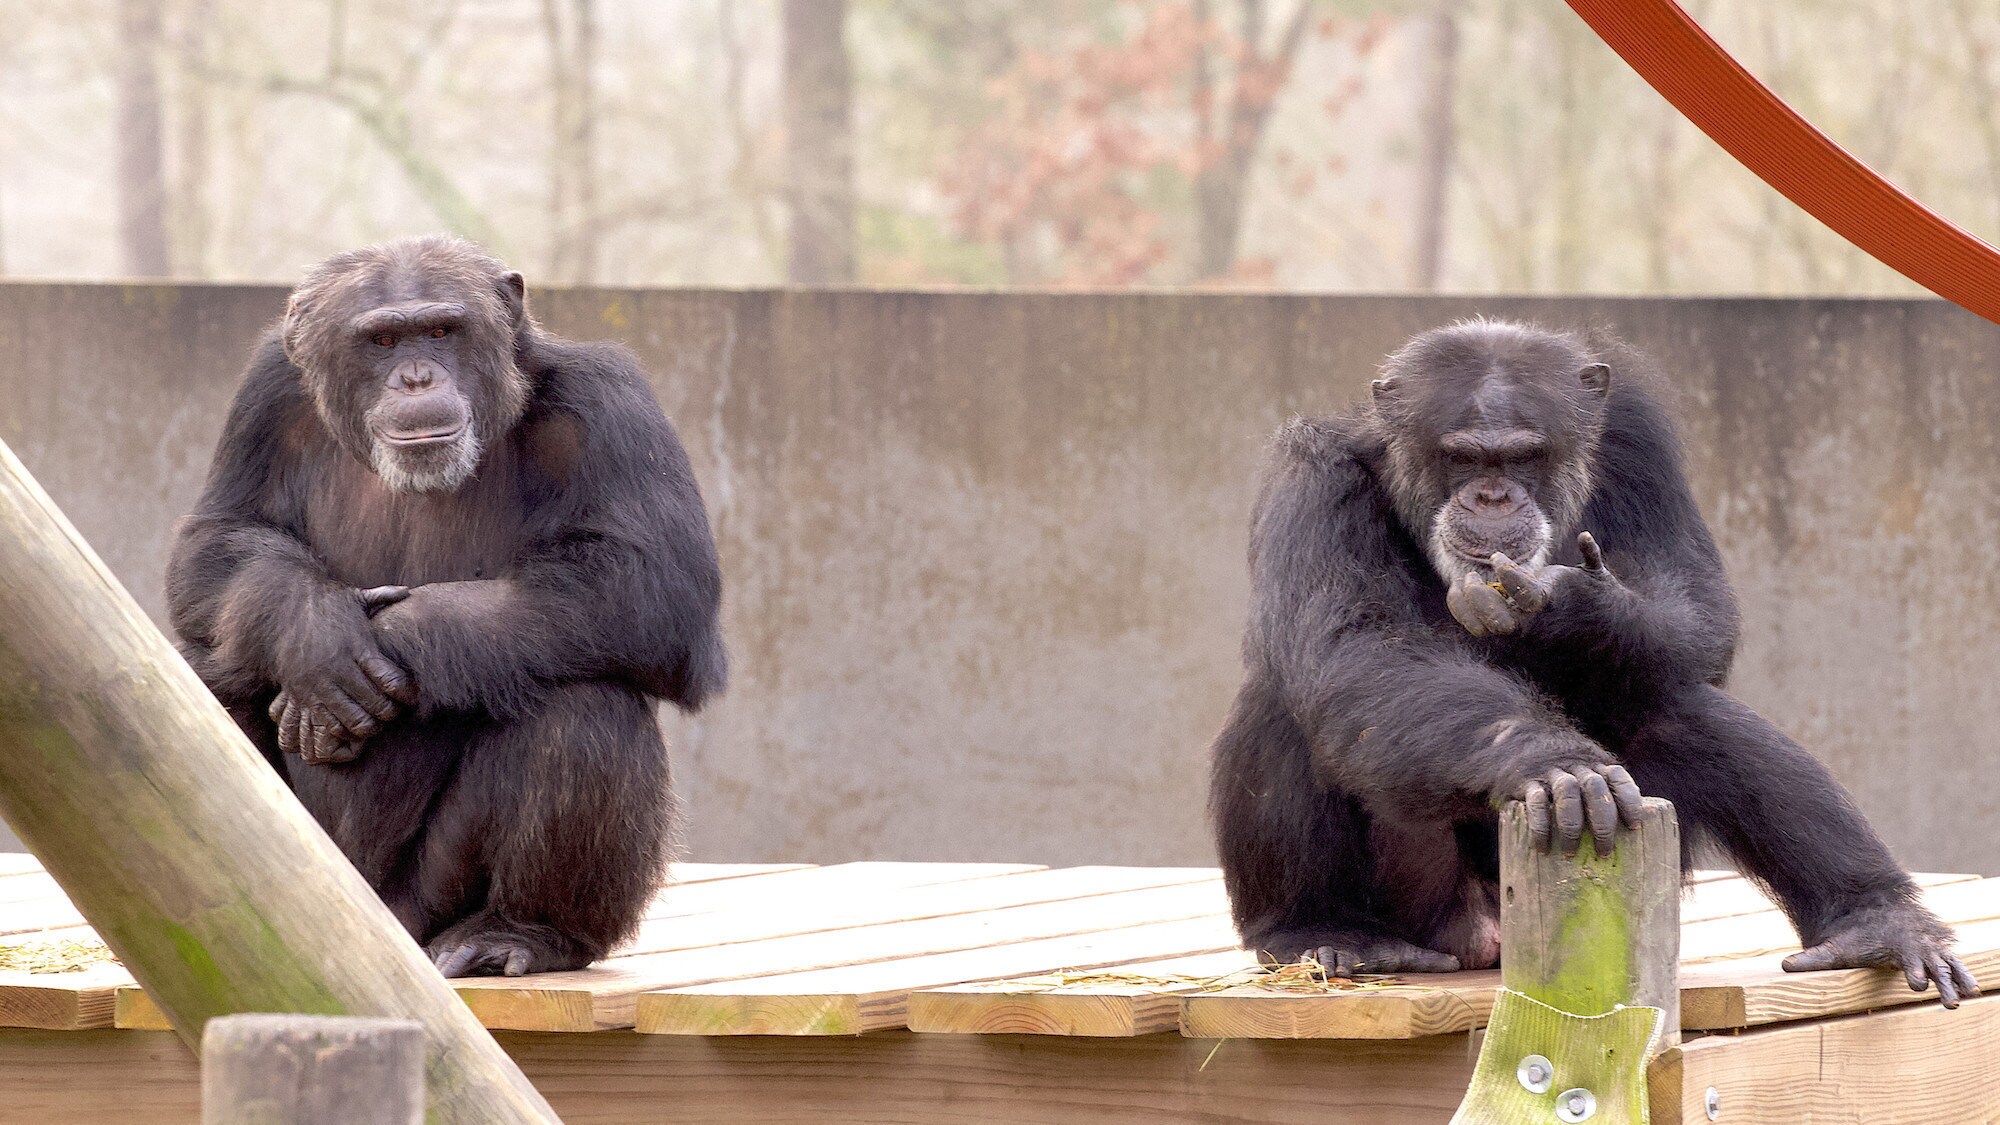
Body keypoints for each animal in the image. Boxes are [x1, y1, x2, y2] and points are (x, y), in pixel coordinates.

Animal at [164, 234, 724, 972]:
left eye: (440, 331)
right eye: (382, 339)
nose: (416, 378)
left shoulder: (611, 404)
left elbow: (657, 585)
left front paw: (388, 638)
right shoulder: (267, 392)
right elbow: (216, 537)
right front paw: (312, 633)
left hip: (428, 897)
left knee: (585, 707)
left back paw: (518, 932)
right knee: (207, 668)